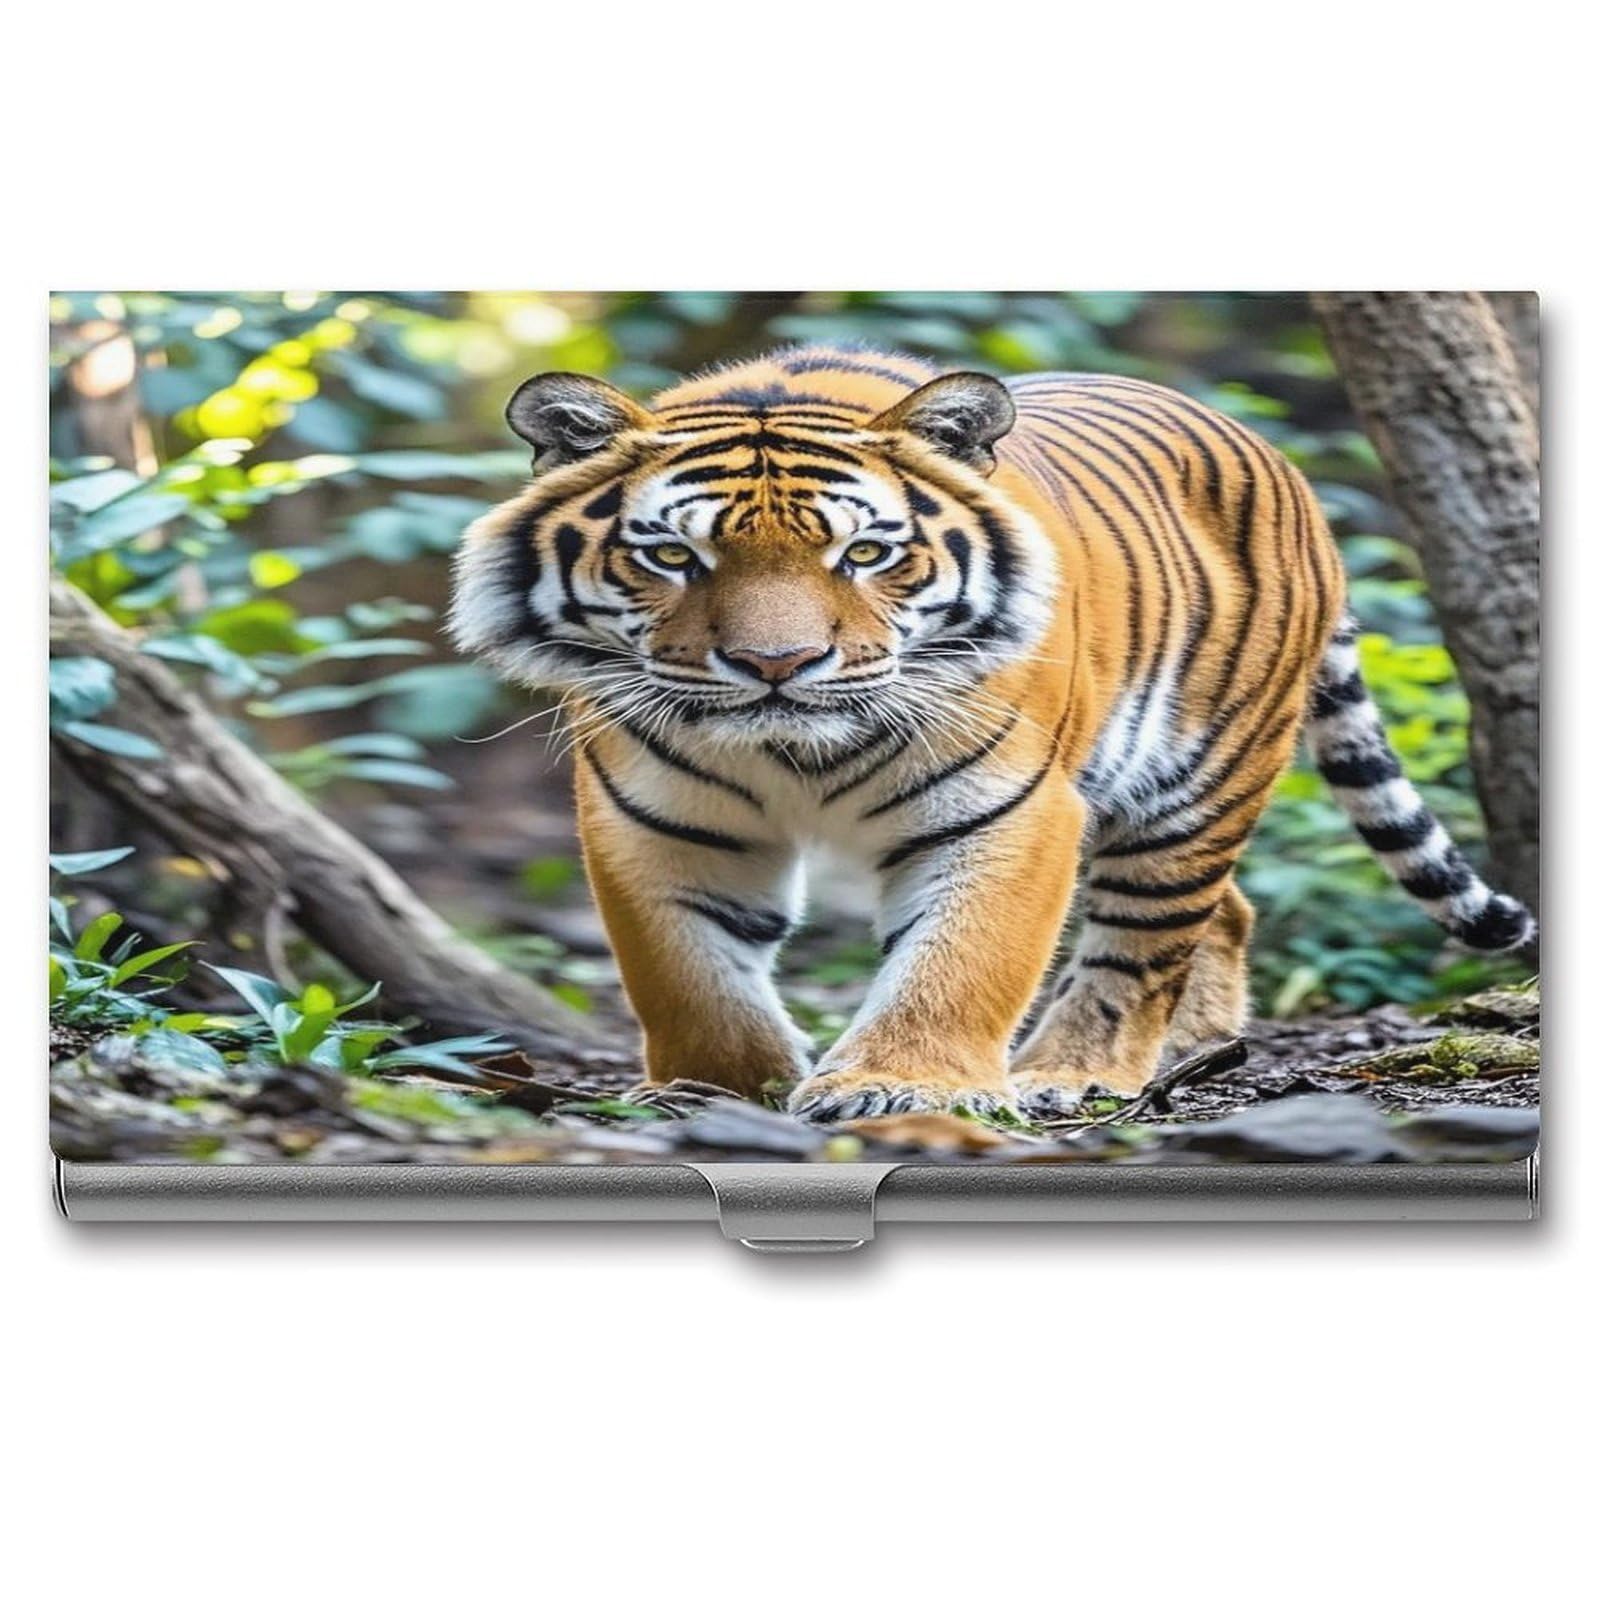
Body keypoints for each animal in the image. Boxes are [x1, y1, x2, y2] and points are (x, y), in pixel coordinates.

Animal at [449, 343, 1534, 1122]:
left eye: (864, 553)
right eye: (673, 556)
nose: (777, 665)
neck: (797, 753)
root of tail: (1283, 464)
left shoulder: (1007, 809)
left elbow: (959, 961)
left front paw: (895, 1086)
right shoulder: (655, 819)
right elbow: (686, 973)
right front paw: (715, 1090)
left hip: (1202, 777)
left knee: (1148, 939)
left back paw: (1077, 1074)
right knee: (1227, 913)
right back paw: (1192, 1053)